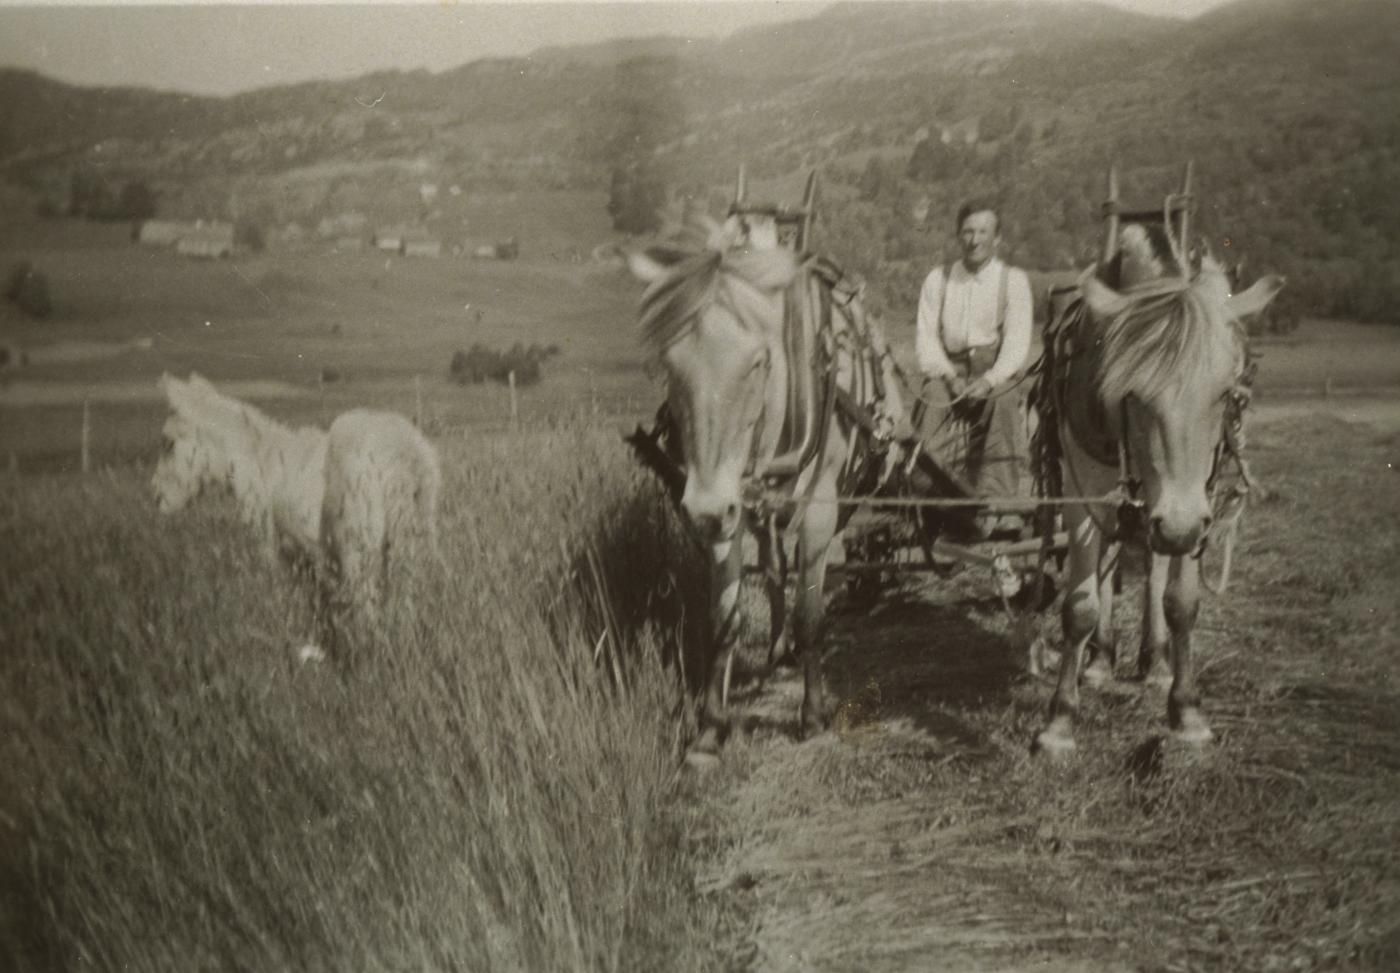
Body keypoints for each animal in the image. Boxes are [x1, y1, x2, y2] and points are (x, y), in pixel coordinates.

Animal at [152, 372, 439, 646]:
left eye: (168, 443)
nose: (156, 497)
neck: (260, 462)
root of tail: (402, 455)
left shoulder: (279, 549)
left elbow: (292, 599)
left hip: (358, 546)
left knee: (367, 607)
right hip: (411, 540)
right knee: (405, 600)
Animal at [630, 215, 901, 761]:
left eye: (758, 362)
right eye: (671, 364)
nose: (705, 511)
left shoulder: (817, 508)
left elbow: (810, 614)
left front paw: (812, 714)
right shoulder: (728, 510)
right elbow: (724, 619)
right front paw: (712, 726)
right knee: (775, 565)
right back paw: (778, 647)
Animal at [1036, 224, 1282, 756]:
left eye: (1225, 394)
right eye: (1131, 395)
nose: (1180, 527)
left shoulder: (1196, 493)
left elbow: (1181, 602)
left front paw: (1186, 711)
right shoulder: (1084, 482)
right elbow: (1081, 604)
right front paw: (1059, 720)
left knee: (1151, 565)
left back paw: (1155, 660)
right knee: (1115, 559)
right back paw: (1101, 660)